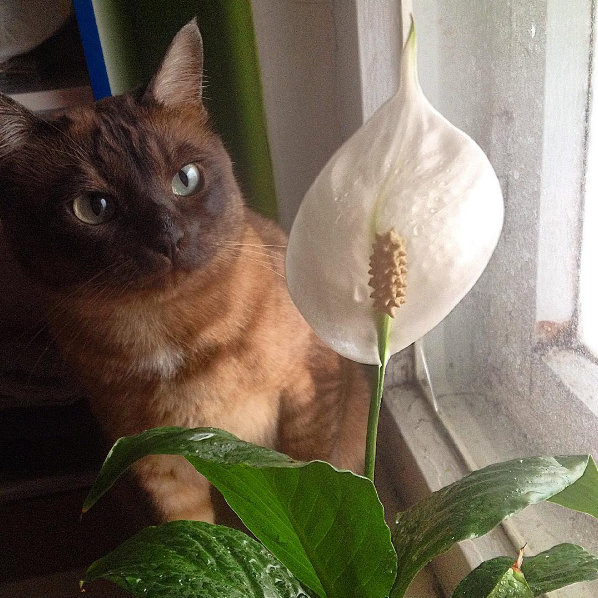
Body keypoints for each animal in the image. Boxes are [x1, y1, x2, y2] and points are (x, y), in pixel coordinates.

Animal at [0, 21, 369, 523]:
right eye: (93, 208)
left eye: (185, 179)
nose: (167, 238)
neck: (169, 330)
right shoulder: (158, 459)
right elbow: (188, 527)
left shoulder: (309, 396)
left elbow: (311, 487)